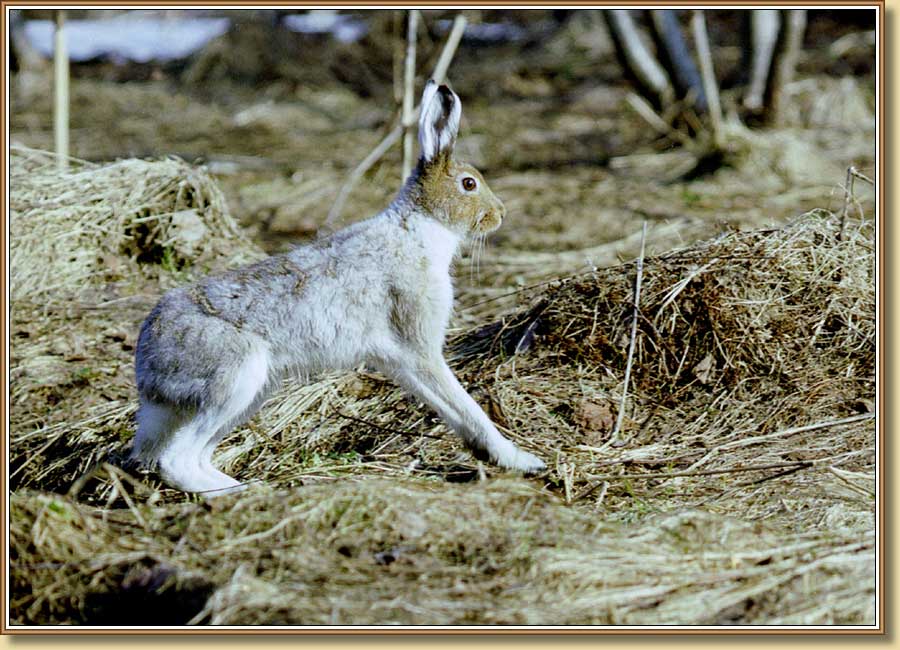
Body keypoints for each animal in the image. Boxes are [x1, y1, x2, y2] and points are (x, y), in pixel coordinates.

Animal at [129, 80, 546, 496]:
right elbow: (465, 405)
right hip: (233, 378)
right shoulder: (419, 345)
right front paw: (521, 460)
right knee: (177, 460)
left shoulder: (401, 359)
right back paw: (242, 492)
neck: (424, 226)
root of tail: (147, 365)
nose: (501, 213)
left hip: (251, 393)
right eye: (468, 184)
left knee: (194, 455)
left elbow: (445, 405)